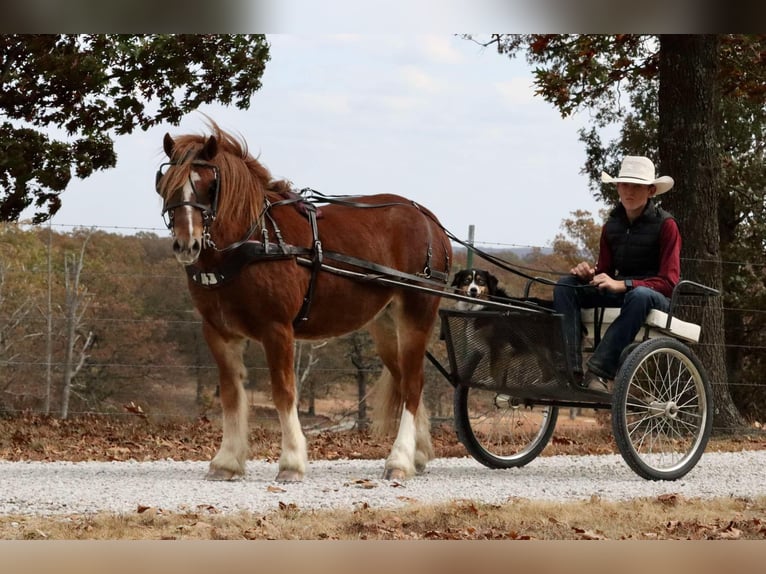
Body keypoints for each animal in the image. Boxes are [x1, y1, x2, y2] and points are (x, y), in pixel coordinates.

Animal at [158, 120, 452, 482]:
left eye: (210, 186)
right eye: (165, 185)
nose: (187, 245)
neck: (251, 242)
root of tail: (429, 220)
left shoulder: (277, 329)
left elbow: (284, 392)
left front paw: (291, 462)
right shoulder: (218, 332)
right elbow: (230, 394)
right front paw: (226, 461)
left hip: (417, 312)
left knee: (412, 383)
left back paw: (398, 460)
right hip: (385, 325)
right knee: (406, 379)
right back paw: (418, 454)